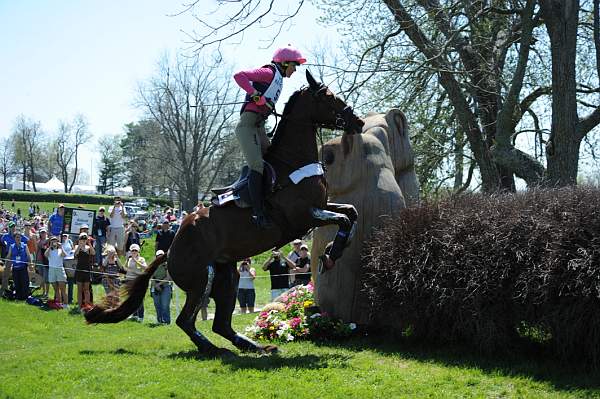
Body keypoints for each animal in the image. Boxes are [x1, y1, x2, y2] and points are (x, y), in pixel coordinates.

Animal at [83, 71, 366, 356]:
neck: (291, 163)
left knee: (220, 324)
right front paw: (332, 254)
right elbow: (343, 219)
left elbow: (351, 214)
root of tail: (169, 251)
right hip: (202, 279)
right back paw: (214, 349)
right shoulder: (303, 217)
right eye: (328, 97)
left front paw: (333, 249)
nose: (358, 121)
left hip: (227, 277)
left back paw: (258, 347)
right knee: (186, 320)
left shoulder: (321, 208)